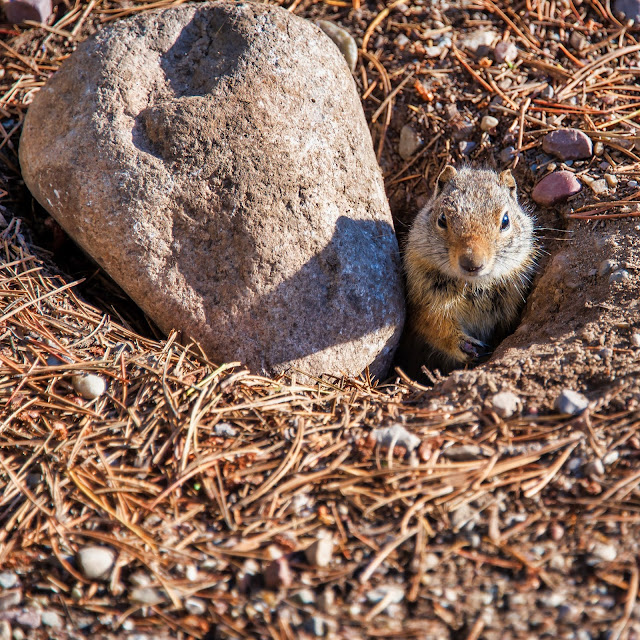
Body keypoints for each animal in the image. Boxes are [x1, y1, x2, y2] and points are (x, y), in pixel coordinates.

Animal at [402, 165, 536, 376]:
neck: (474, 284)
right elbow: (433, 324)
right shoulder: (424, 298)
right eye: (442, 219)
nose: (472, 263)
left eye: (505, 221)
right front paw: (466, 346)